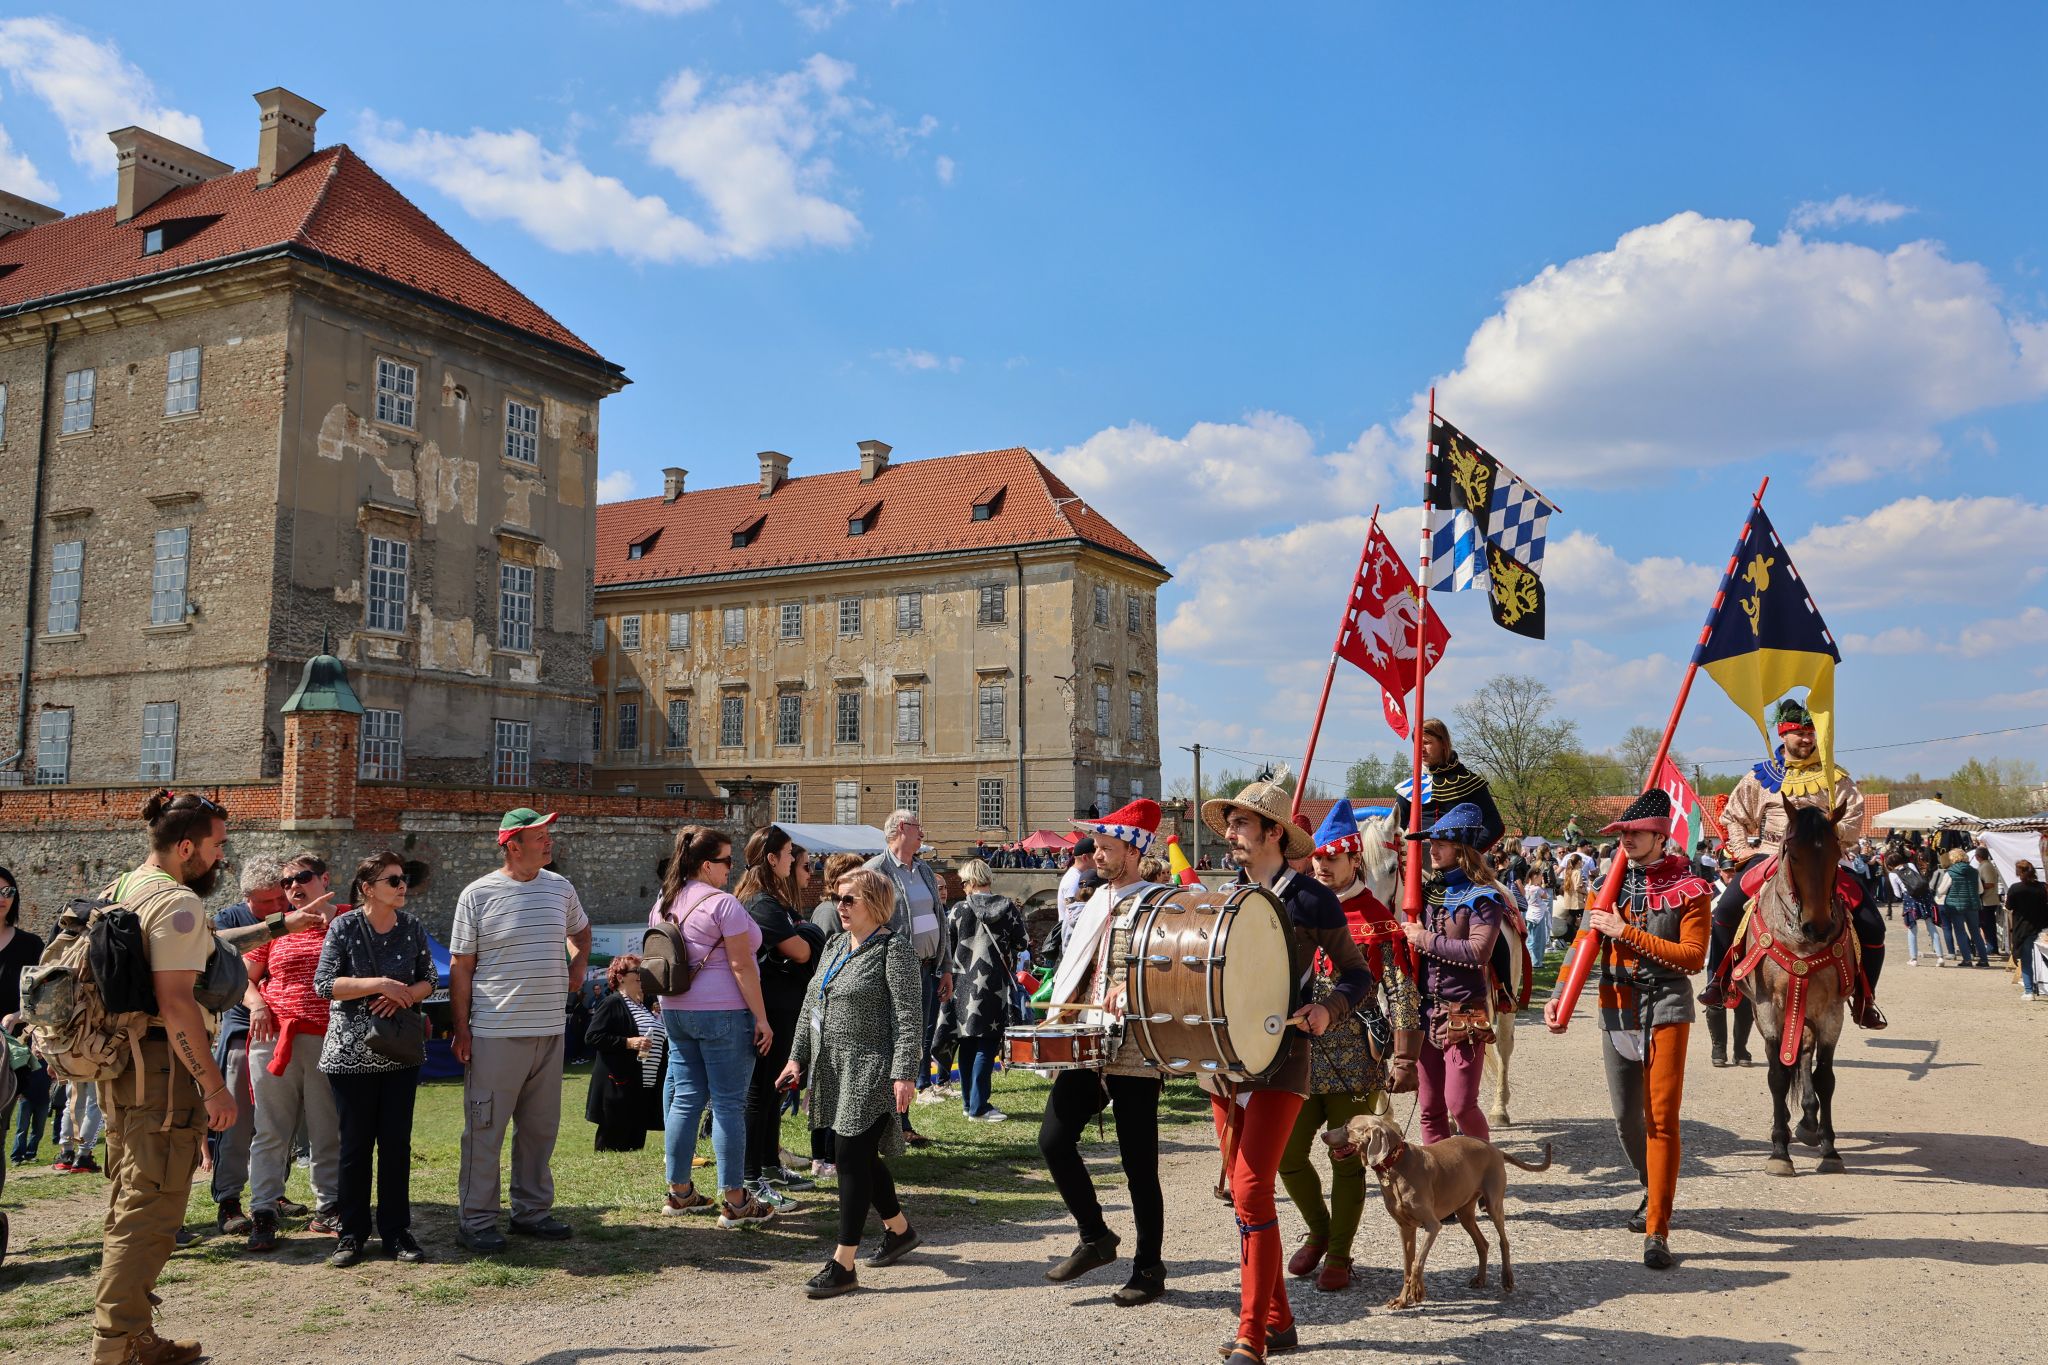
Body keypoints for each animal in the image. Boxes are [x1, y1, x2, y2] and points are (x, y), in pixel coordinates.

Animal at [1744, 802, 1859, 1178]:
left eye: (1837, 853)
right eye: (1793, 854)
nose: (1818, 926)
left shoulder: (1831, 1012)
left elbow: (1825, 1077)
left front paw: (1830, 1150)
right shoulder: (1768, 1009)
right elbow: (1778, 1075)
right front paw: (1779, 1152)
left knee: (1805, 1054)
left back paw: (1809, 1122)